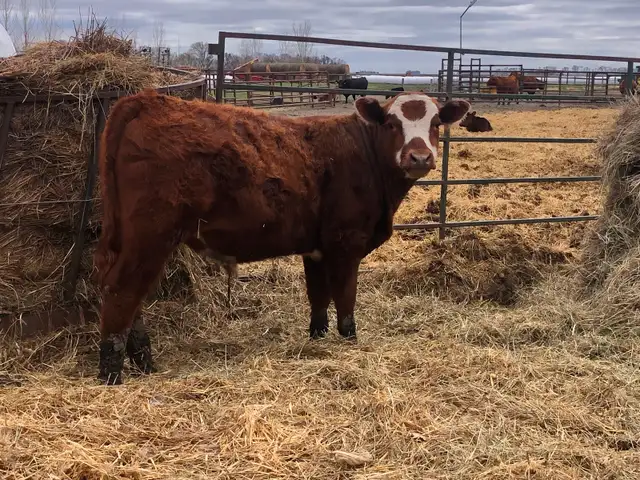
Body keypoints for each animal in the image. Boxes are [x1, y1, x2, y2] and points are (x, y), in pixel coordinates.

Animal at [93, 89, 470, 385]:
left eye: (436, 124)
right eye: (392, 124)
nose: (419, 156)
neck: (364, 154)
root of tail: (147, 100)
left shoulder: (316, 248)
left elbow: (318, 298)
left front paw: (317, 338)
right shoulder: (346, 242)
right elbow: (345, 300)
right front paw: (349, 341)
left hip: (134, 239)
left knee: (131, 296)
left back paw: (144, 362)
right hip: (151, 235)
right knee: (122, 291)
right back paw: (111, 373)